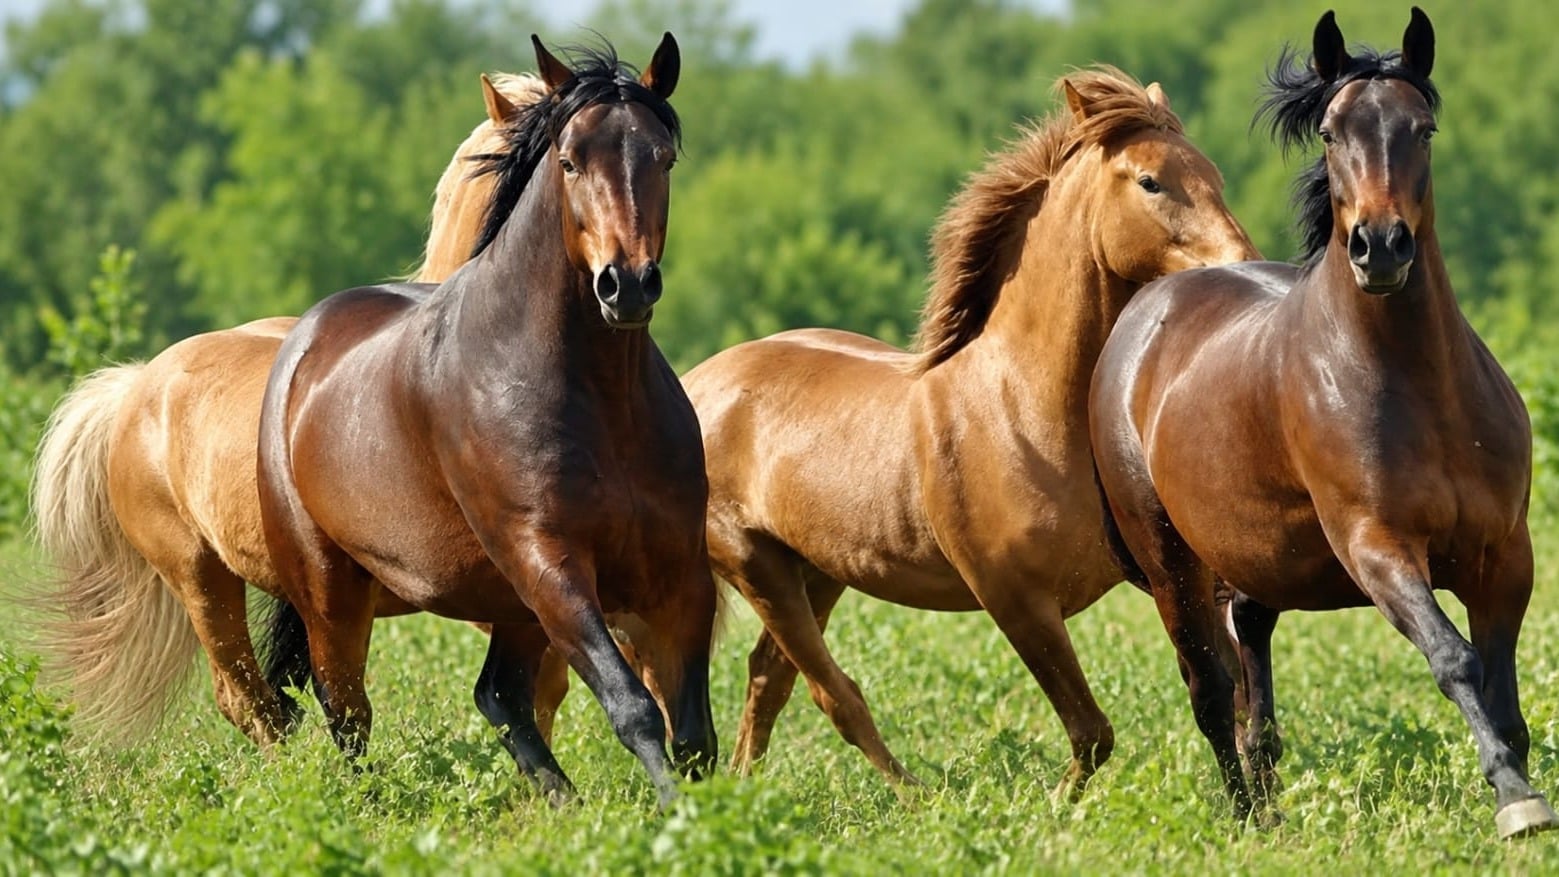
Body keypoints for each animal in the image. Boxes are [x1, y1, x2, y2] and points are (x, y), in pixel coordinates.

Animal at [253, 34, 713, 807]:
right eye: (569, 160)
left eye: (663, 158)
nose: (626, 285)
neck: (600, 400)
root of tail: (303, 346)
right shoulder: (550, 564)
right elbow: (634, 707)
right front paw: (679, 818)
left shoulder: (680, 570)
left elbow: (695, 734)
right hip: (331, 590)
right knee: (345, 706)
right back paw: (369, 804)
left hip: (510, 606)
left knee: (498, 696)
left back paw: (561, 802)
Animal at [678, 68, 1258, 796]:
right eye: (1150, 181)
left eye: (1213, 173)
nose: (1243, 263)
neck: (1025, 412)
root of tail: (694, 384)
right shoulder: (1014, 600)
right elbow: (1091, 732)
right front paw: (1051, 810)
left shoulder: (1171, 575)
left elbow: (1227, 692)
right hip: (756, 565)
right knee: (833, 693)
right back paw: (914, 799)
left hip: (817, 569)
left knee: (768, 677)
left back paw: (742, 790)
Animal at [1089, 8, 1558, 839]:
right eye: (1332, 132)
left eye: (1422, 129)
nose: (1380, 247)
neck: (1421, 390)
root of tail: (1142, 318)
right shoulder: (1377, 547)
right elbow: (1455, 660)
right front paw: (1512, 797)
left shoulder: (1504, 555)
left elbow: (1503, 691)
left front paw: (1524, 789)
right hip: (1171, 564)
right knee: (1211, 693)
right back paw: (1245, 822)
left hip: (1249, 573)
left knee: (1253, 695)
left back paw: (1271, 814)